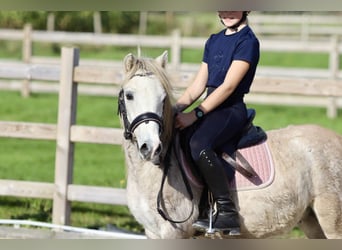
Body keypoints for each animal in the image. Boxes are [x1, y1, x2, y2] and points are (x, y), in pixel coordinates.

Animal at [118, 51, 342, 239]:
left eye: (163, 98)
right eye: (129, 95)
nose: (152, 148)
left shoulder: (174, 234)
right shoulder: (152, 233)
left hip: (332, 222)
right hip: (311, 221)